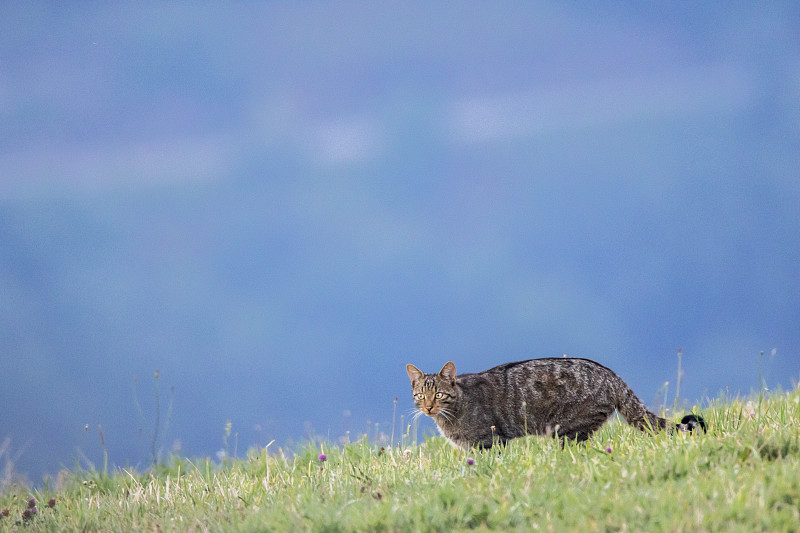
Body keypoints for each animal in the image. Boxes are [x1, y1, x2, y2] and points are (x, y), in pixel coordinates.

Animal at [406, 358, 708, 448]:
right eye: (421, 395)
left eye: (439, 395)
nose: (429, 407)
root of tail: (613, 375)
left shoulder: (489, 442)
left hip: (566, 430)